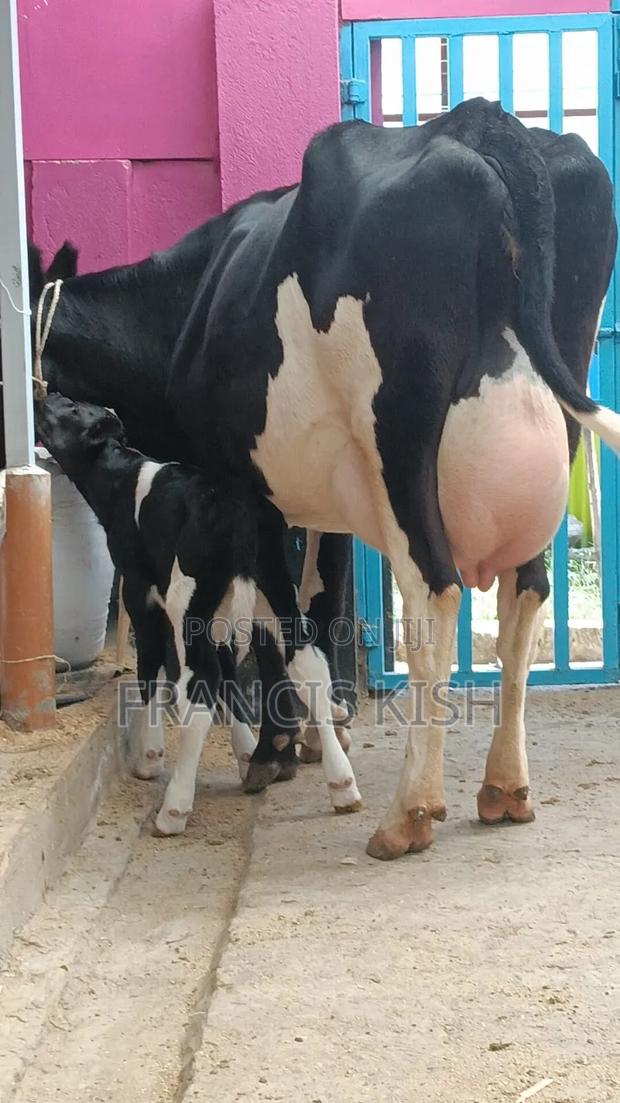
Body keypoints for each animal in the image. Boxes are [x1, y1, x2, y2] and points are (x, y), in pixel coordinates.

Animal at [34, 393, 361, 834]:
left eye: (71, 408)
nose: (45, 395)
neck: (123, 480)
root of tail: (236, 506)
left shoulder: (142, 598)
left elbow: (151, 675)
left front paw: (150, 757)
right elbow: (230, 681)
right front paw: (246, 754)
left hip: (186, 604)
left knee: (198, 693)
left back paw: (173, 811)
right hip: (277, 597)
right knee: (309, 670)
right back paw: (342, 785)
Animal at [166, 98, 620, 859]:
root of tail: (479, 121)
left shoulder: (247, 493)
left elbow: (279, 628)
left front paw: (280, 754)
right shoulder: (319, 508)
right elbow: (318, 603)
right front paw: (309, 740)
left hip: (398, 435)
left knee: (435, 589)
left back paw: (408, 813)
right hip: (552, 424)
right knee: (526, 591)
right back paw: (505, 789)